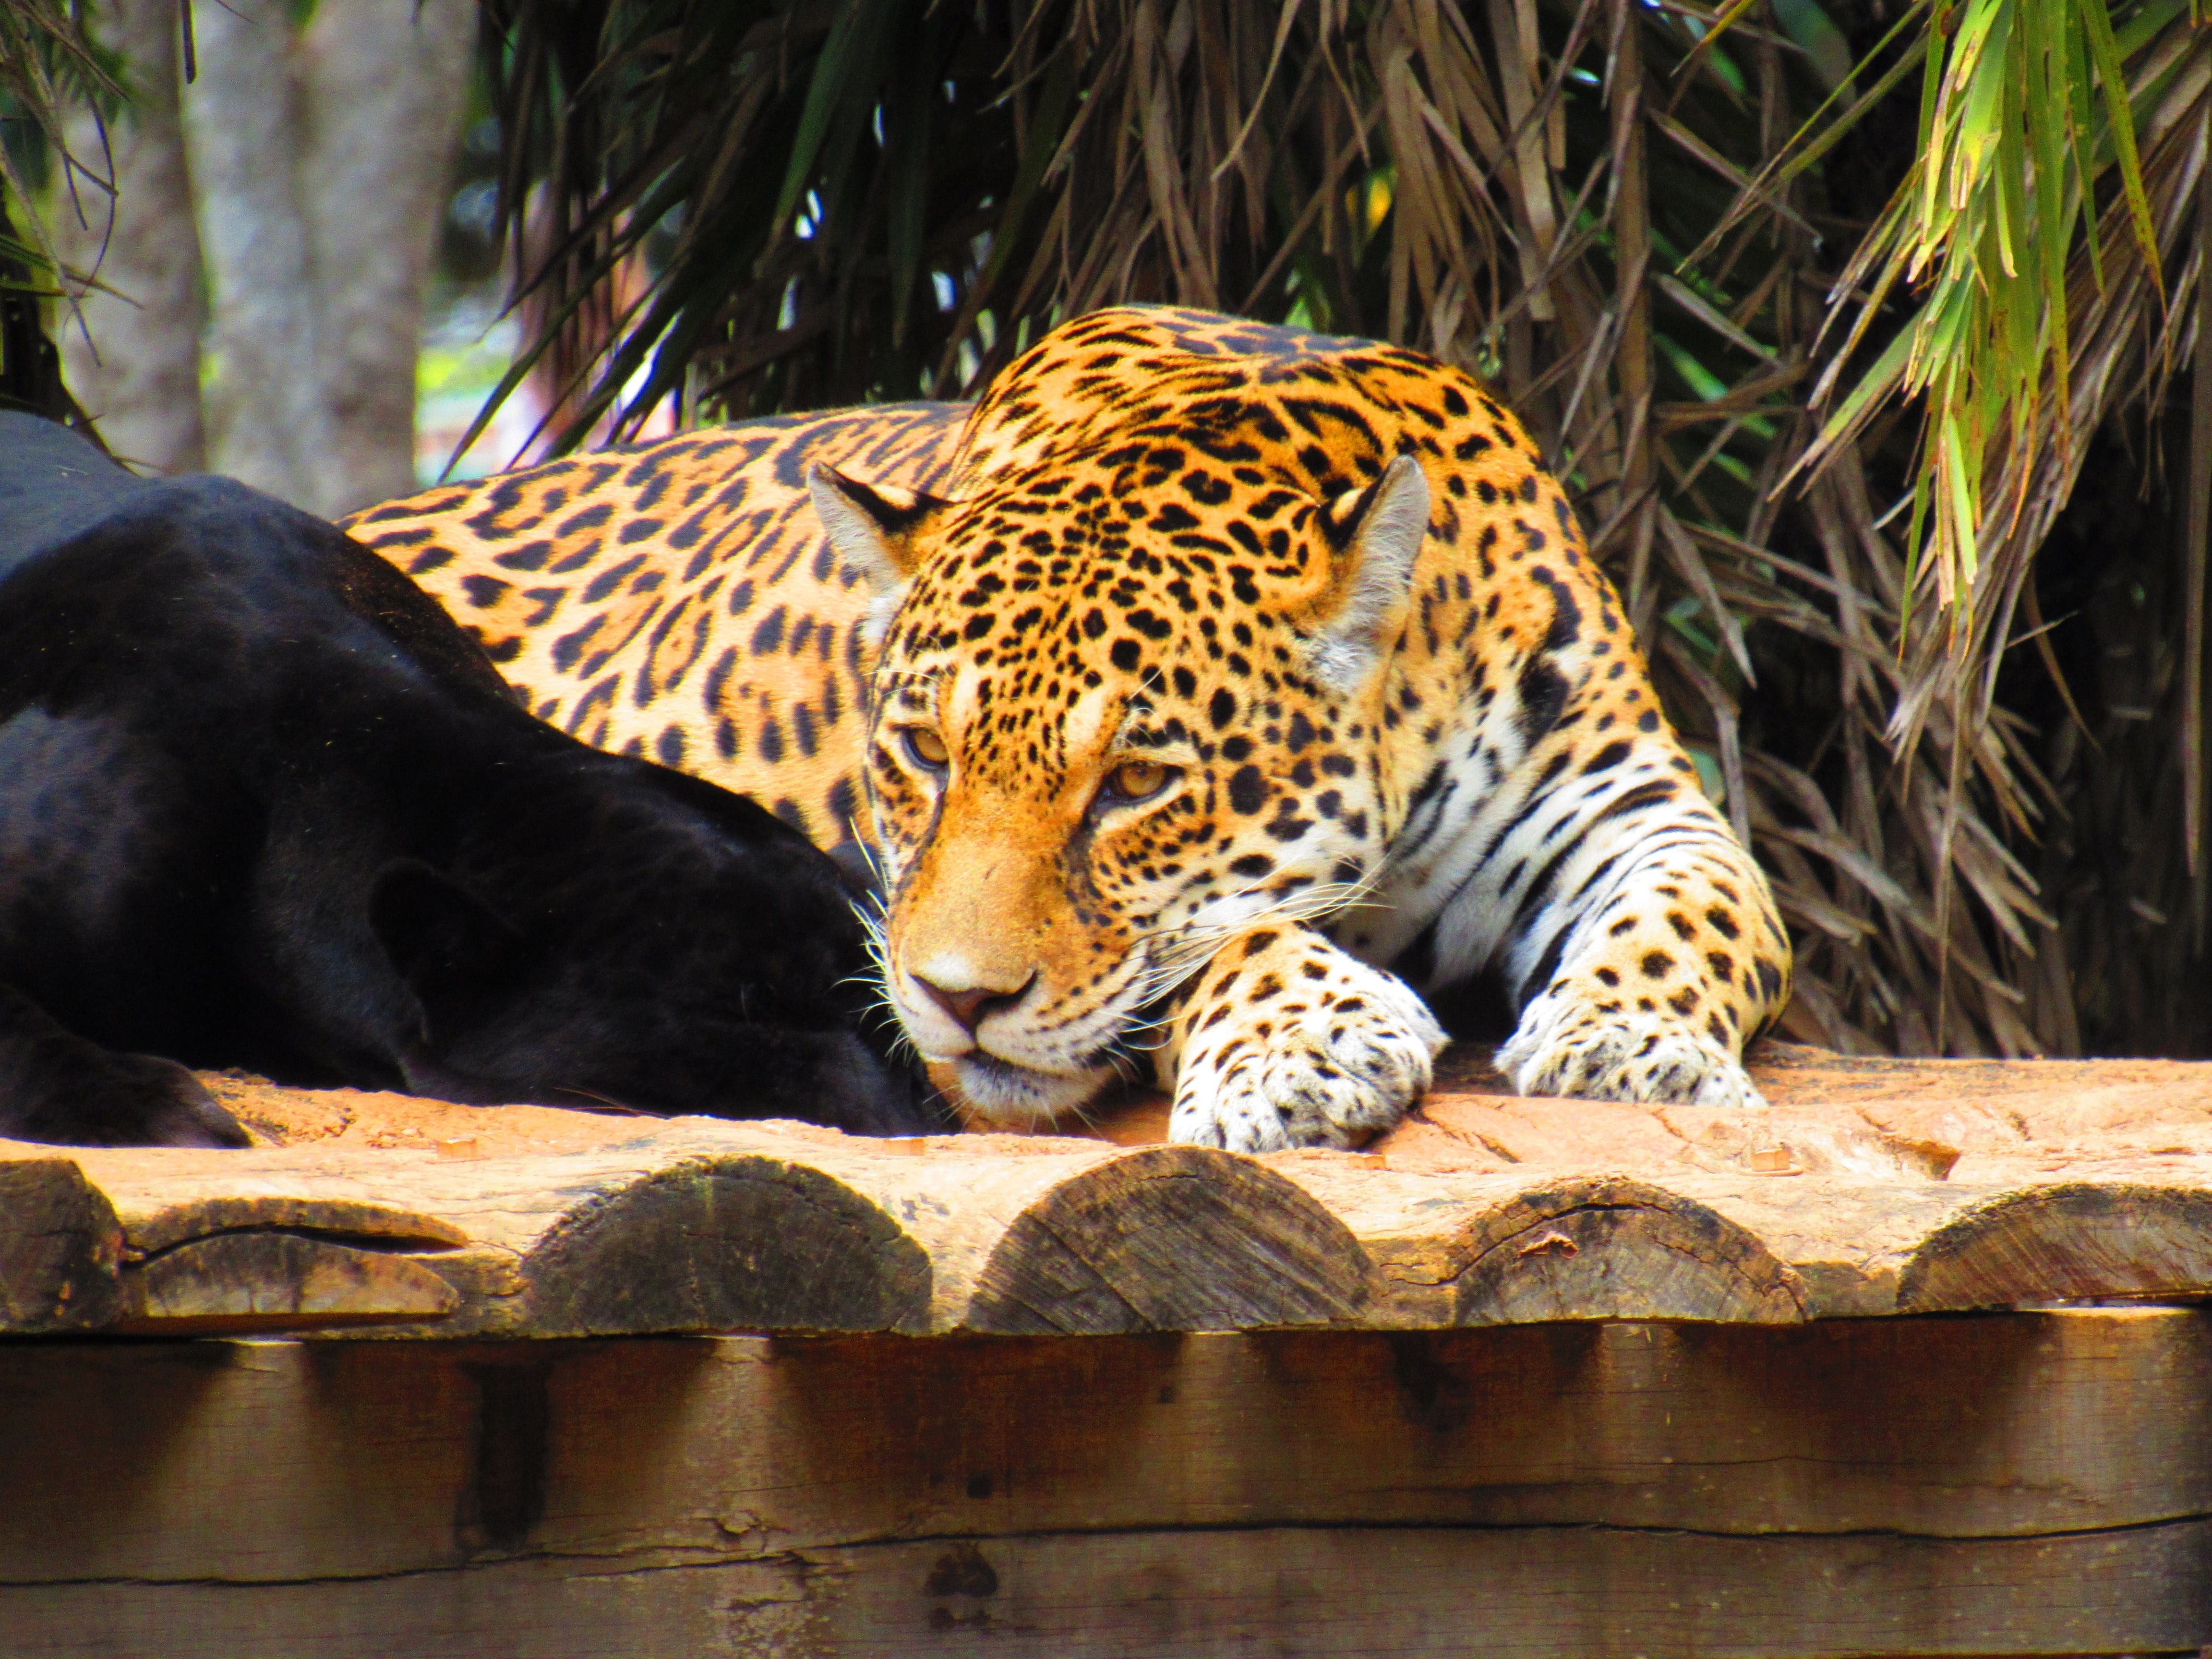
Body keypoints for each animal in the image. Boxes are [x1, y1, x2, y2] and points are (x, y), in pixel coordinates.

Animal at [348, 305, 1793, 1153]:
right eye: (926, 754)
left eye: (1137, 782)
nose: (956, 1000)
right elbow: (1210, 936)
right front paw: (1307, 1041)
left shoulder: (1630, 804)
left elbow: (1704, 905)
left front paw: (1631, 1043)